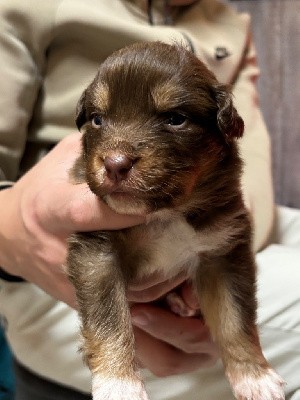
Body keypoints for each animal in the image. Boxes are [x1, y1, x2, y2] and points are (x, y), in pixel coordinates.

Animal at [67, 41, 284, 400]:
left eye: (175, 119)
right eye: (98, 119)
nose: (114, 164)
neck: (165, 212)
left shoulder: (223, 248)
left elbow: (235, 319)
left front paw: (254, 376)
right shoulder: (97, 251)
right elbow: (109, 319)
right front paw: (119, 384)